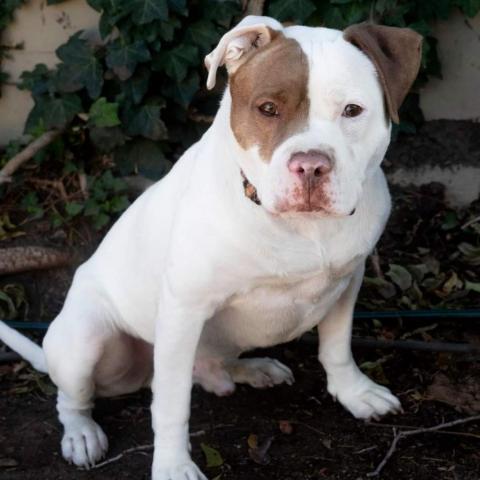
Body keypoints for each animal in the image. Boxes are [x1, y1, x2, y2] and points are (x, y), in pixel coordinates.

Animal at [0, 15, 420, 480]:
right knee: (74, 396)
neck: (301, 228)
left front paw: (354, 392)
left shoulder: (349, 279)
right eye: (267, 109)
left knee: (211, 363)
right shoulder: (184, 309)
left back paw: (251, 369)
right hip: (84, 339)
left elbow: (337, 347)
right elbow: (171, 406)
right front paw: (172, 465)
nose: (310, 166)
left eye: (352, 111)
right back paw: (81, 434)